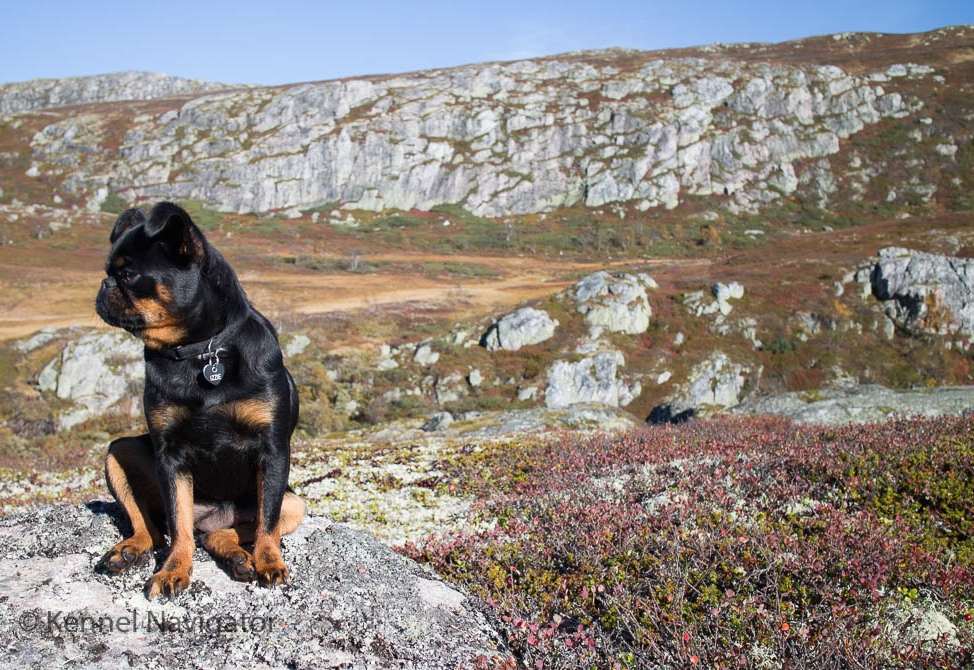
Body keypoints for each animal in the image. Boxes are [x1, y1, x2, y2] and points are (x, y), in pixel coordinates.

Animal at [95, 201, 305, 599]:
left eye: (128, 274)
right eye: (109, 273)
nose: (103, 286)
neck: (200, 351)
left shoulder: (272, 450)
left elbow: (267, 523)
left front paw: (270, 563)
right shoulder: (170, 456)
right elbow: (178, 524)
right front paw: (173, 570)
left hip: (294, 502)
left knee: (233, 530)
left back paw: (238, 556)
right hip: (119, 453)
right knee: (157, 528)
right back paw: (129, 550)